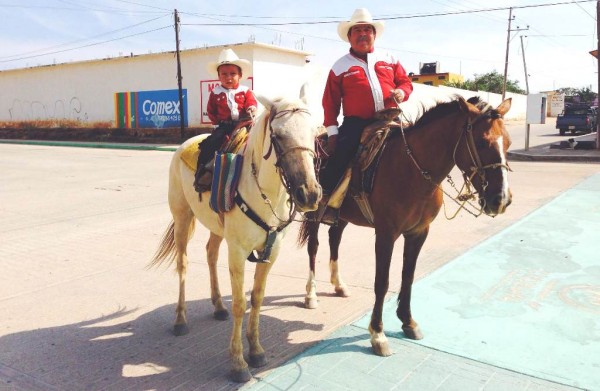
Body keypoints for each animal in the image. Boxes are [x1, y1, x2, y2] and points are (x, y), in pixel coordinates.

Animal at [150, 94, 324, 382]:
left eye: (314, 133)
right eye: (278, 135)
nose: (309, 194)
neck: (263, 192)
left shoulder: (271, 250)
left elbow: (257, 298)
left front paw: (255, 350)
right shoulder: (238, 250)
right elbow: (241, 304)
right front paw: (238, 363)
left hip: (216, 228)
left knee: (210, 254)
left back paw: (219, 305)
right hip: (182, 218)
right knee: (183, 264)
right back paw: (180, 320)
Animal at [298, 95, 512, 358]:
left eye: (509, 143)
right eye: (482, 143)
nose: (501, 200)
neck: (412, 171)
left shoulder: (418, 233)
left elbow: (408, 276)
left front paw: (408, 321)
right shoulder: (386, 234)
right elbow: (382, 282)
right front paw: (378, 334)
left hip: (341, 214)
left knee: (334, 237)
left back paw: (339, 285)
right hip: (315, 212)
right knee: (314, 247)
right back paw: (311, 294)